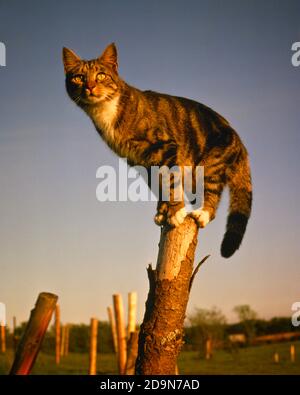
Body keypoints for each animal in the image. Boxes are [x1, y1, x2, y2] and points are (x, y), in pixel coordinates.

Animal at [62, 43, 252, 258]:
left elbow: (171, 182)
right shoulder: (142, 162)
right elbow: (159, 186)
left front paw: (176, 212)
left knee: (213, 189)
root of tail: (238, 139)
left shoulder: (165, 147)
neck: (107, 110)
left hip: (209, 164)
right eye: (78, 77)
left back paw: (203, 213)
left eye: (101, 75)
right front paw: (163, 211)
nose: (90, 86)